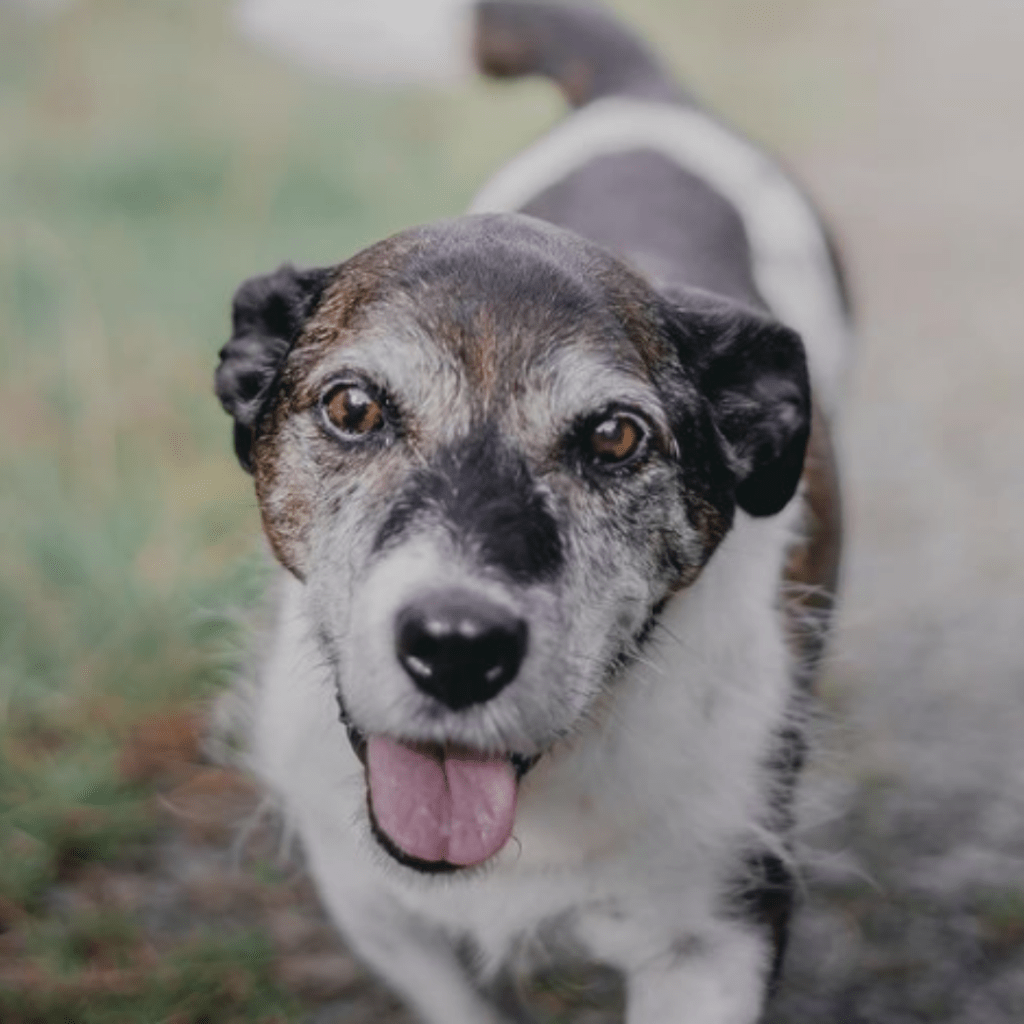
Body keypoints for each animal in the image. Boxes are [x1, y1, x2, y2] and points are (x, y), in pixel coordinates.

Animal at [215, 3, 849, 1021]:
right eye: (353, 407)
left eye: (617, 437)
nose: (457, 646)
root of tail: (648, 94)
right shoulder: (378, 911)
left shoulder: (716, 937)